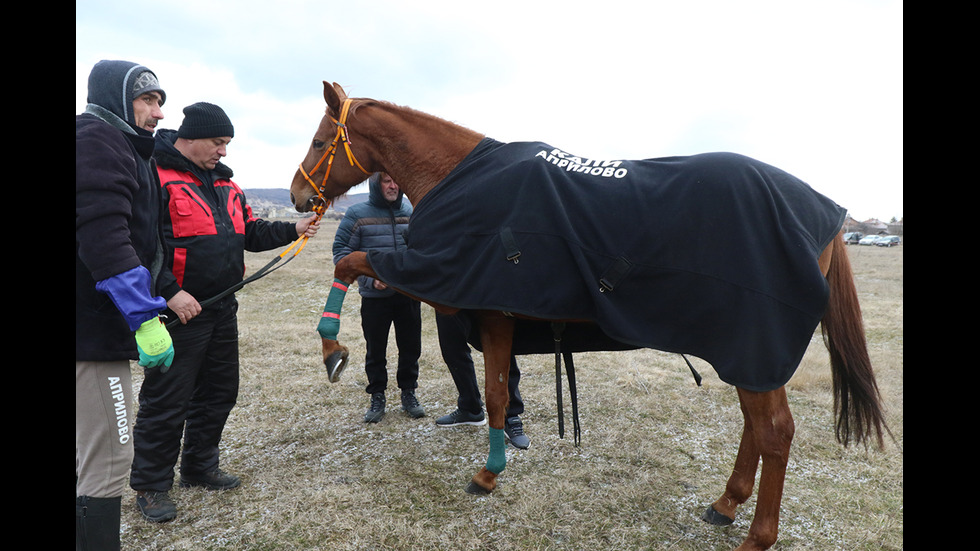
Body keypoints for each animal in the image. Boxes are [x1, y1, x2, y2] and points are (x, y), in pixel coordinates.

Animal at [290, 83, 888, 551]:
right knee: (756, 427)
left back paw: (756, 536)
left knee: (775, 432)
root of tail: (824, 213)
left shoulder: (472, 299)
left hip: (755, 346)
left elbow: (350, 262)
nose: (296, 195)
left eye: (320, 141)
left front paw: (333, 347)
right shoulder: (497, 313)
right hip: (745, 354)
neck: (464, 179)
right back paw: (726, 503)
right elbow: (498, 394)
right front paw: (492, 472)